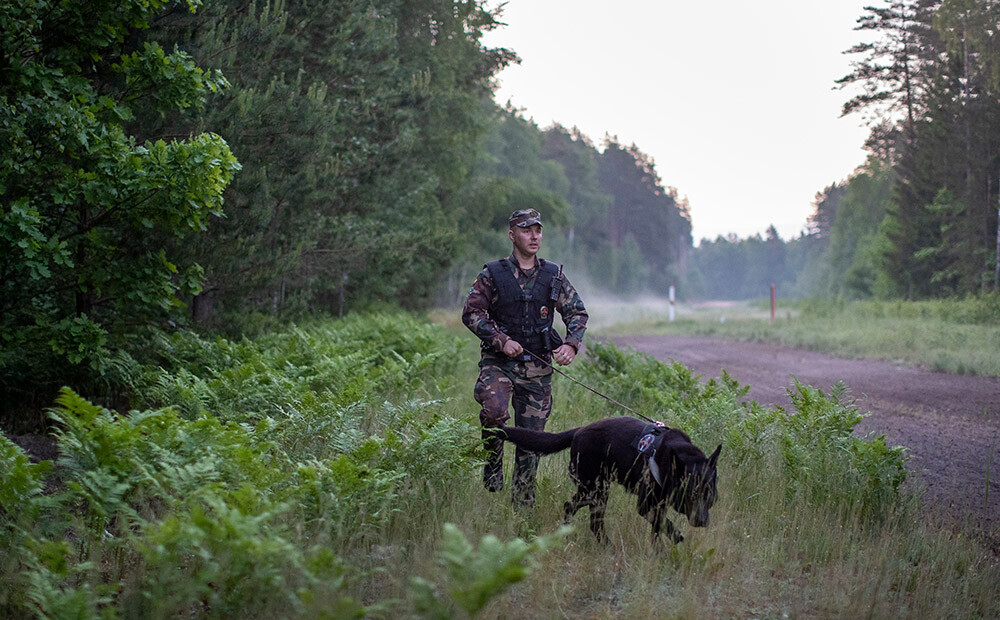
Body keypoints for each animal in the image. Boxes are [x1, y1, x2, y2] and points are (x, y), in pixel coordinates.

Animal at [498, 416, 720, 544]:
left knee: (573, 507)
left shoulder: (660, 505)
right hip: (595, 488)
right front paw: (677, 537)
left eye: (709, 495)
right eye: (690, 493)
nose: (702, 522)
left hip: (593, 489)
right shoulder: (646, 506)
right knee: (588, 518)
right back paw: (605, 545)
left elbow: (657, 531)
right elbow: (664, 525)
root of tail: (579, 430)